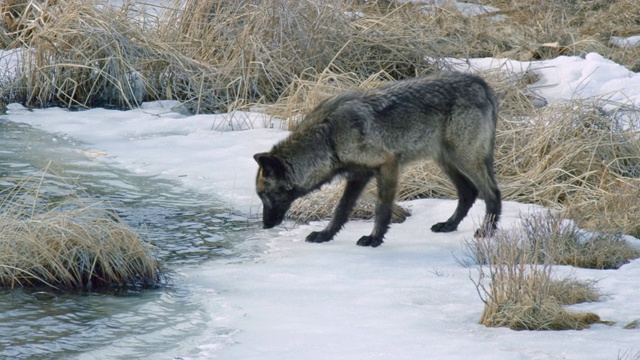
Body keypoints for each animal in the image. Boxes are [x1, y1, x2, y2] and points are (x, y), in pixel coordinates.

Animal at [254, 73, 500, 248]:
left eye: (265, 196)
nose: (265, 226)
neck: (328, 137)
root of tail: (482, 84)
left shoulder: (388, 164)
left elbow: (382, 209)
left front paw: (374, 239)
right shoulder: (358, 176)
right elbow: (341, 210)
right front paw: (325, 235)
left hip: (464, 160)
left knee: (492, 193)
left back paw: (487, 231)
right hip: (446, 161)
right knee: (468, 193)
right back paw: (449, 225)